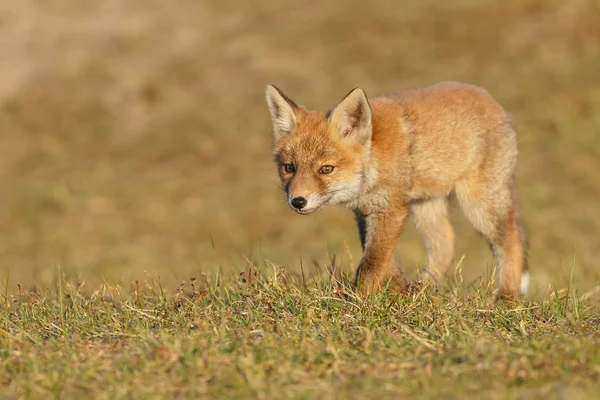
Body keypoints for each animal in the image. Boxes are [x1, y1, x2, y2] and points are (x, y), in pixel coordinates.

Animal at [264, 81, 528, 298]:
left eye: (326, 169)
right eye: (290, 168)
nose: (298, 201)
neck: (373, 161)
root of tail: (488, 97)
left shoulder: (391, 208)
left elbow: (372, 261)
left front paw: (359, 299)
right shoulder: (366, 211)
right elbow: (377, 253)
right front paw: (397, 286)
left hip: (479, 205)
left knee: (511, 241)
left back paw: (507, 297)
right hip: (425, 206)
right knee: (445, 244)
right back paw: (422, 290)